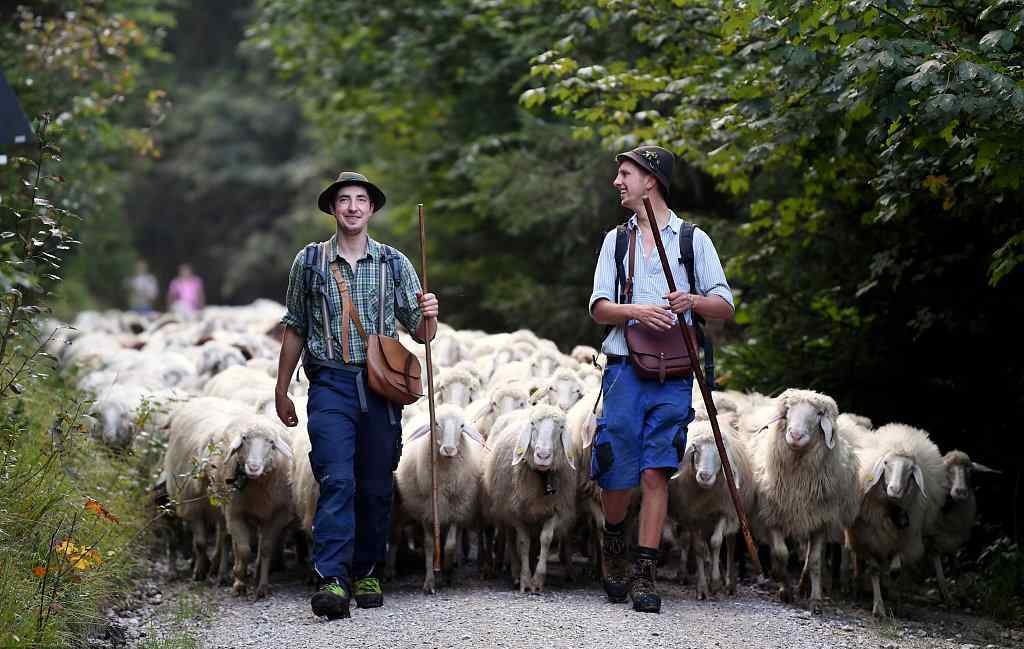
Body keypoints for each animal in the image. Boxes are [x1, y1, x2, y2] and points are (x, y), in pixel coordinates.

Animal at [395, 399, 487, 589]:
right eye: (436, 423)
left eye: (461, 426)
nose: (449, 449)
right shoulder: (426, 510)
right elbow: (430, 545)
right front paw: (429, 581)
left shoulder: (455, 511)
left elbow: (450, 545)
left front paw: (448, 573)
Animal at [481, 405, 577, 589]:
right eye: (532, 424)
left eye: (561, 427)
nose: (543, 455)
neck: (541, 476)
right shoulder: (516, 513)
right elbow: (523, 543)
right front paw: (525, 580)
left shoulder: (555, 510)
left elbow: (545, 539)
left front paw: (538, 580)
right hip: (505, 510)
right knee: (511, 540)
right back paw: (515, 573)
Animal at [667, 419, 757, 597]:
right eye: (695, 449)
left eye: (719, 451)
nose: (704, 476)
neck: (706, 497)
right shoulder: (693, 517)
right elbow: (700, 548)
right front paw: (702, 588)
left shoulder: (723, 511)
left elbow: (716, 543)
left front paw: (715, 582)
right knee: (692, 543)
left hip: (733, 514)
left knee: (729, 544)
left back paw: (729, 583)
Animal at [749, 388, 860, 610]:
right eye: (788, 410)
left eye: (818, 414)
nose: (796, 435)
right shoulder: (773, 516)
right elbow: (780, 554)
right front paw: (784, 588)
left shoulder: (821, 520)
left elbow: (815, 561)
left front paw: (816, 600)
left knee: (810, 557)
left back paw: (805, 585)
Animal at [847, 421, 942, 614]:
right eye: (885, 463)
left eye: (911, 469)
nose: (895, 490)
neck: (892, 508)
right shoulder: (868, 539)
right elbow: (874, 569)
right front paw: (879, 607)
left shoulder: (904, 540)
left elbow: (895, 571)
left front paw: (892, 598)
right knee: (859, 562)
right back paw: (857, 588)